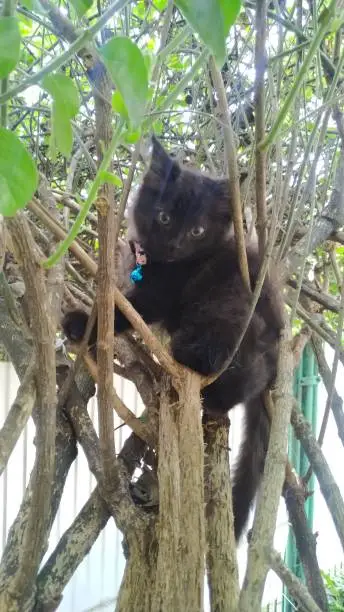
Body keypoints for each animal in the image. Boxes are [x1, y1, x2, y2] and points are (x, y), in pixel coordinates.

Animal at [63, 135, 284, 540]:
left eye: (198, 230)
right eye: (164, 216)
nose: (177, 243)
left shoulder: (160, 294)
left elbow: (121, 312)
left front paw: (81, 322)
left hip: (229, 304)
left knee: (237, 371)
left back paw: (197, 370)